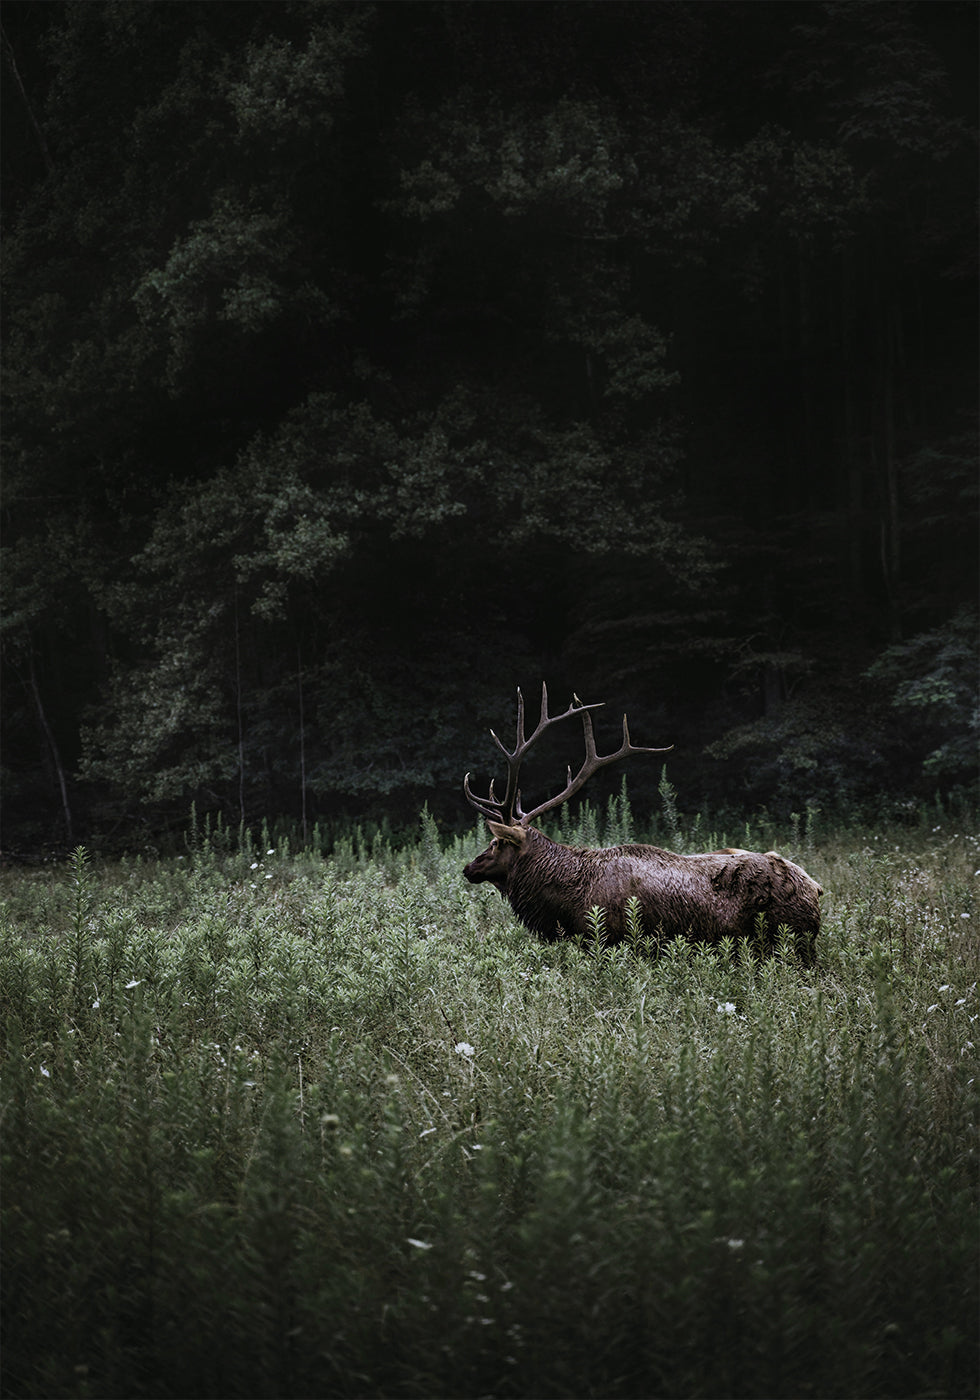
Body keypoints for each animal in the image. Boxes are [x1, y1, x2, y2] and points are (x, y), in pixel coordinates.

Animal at [462, 686, 823, 963]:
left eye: (496, 843)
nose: (468, 867)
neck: (565, 901)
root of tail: (816, 889)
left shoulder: (609, 939)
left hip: (789, 941)